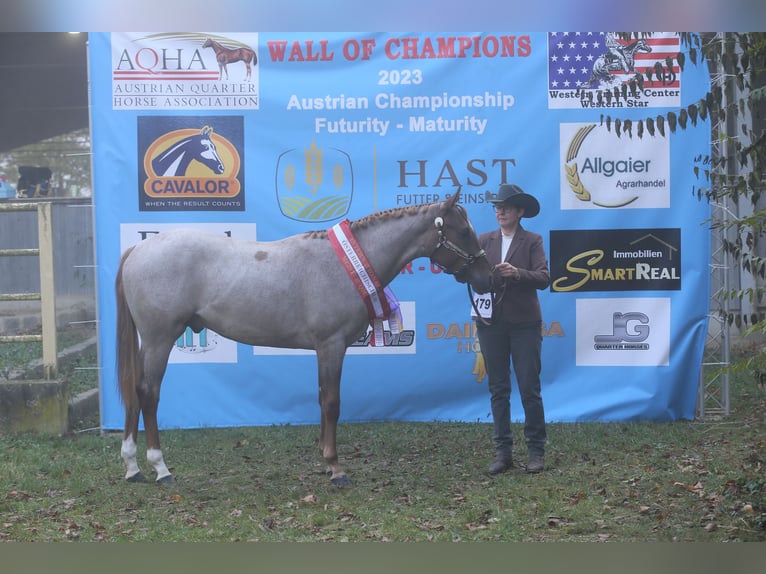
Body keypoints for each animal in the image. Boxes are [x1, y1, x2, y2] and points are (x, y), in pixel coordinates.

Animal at [115, 192, 494, 487]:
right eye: (464, 231)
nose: (487, 277)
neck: (345, 264)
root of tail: (138, 249)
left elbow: (322, 398)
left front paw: (327, 463)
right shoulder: (331, 345)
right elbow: (331, 402)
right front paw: (335, 467)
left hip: (148, 342)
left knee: (135, 392)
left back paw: (133, 467)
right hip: (160, 338)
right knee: (149, 393)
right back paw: (161, 468)